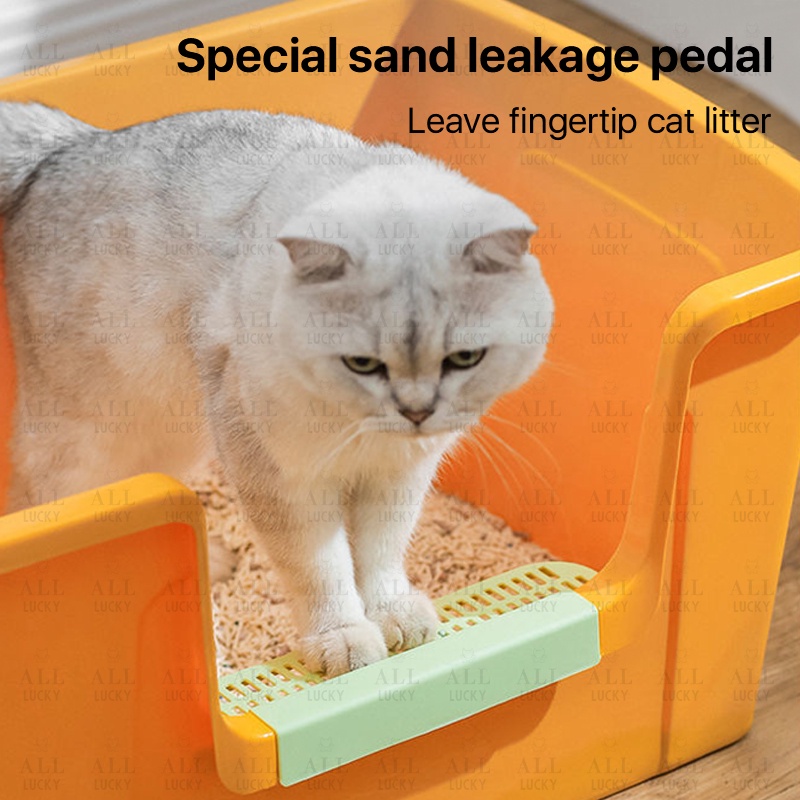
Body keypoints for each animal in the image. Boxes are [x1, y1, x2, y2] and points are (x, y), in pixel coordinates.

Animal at [0, 102, 554, 676]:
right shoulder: (285, 481)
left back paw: (216, 559)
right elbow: (323, 569)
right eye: (362, 363)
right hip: (89, 440)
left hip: (172, 434)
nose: (416, 412)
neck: (357, 427)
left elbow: (380, 554)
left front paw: (395, 615)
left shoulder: (397, 475)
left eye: (464, 358)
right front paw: (344, 640)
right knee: (37, 503)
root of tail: (63, 146)